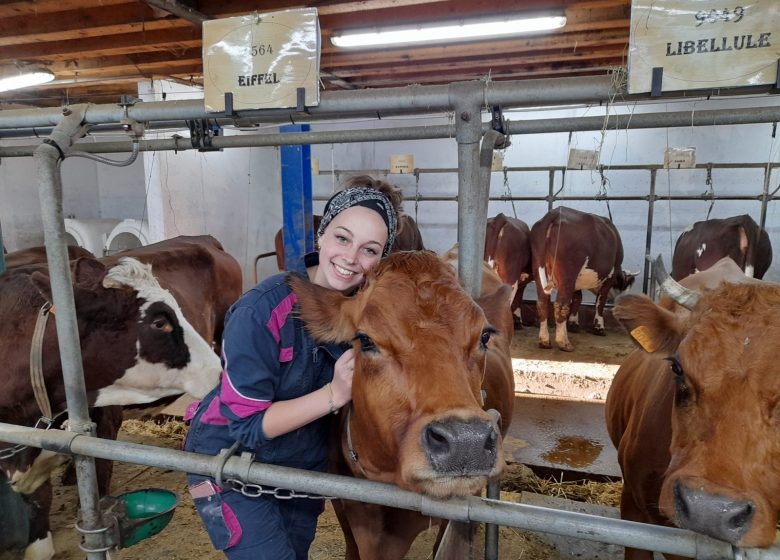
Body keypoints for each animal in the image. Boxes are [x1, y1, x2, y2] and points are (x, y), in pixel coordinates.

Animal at [532, 208, 632, 352]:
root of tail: (555, 213)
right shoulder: (609, 277)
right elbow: (600, 302)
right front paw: (599, 328)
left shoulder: (575, 282)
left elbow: (578, 298)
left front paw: (573, 323)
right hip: (568, 274)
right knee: (561, 305)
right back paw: (564, 342)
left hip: (540, 273)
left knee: (542, 303)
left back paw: (544, 341)